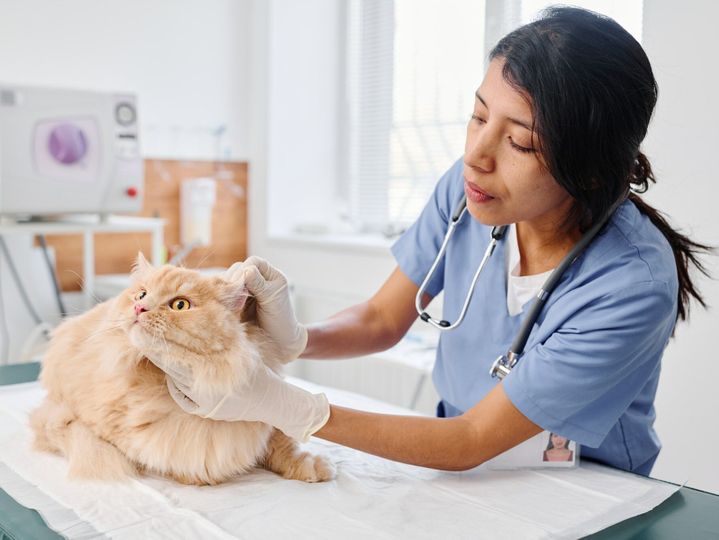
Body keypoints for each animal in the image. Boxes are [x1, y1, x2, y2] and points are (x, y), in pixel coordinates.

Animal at [30, 255, 334, 488]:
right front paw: (196, 477)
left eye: (180, 305)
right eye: (141, 294)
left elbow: (282, 444)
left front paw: (312, 466)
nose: (139, 307)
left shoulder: (265, 419)